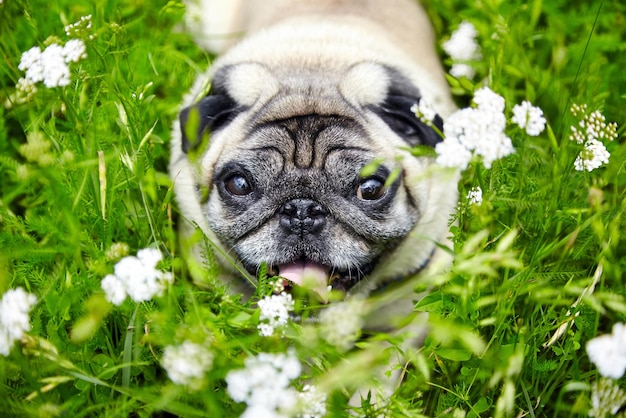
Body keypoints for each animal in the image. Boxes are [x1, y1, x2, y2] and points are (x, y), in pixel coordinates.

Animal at [171, 0, 458, 402]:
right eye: (239, 184)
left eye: (370, 189)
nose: (302, 210)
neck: (315, 67)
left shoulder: (406, 320)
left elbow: (378, 374)